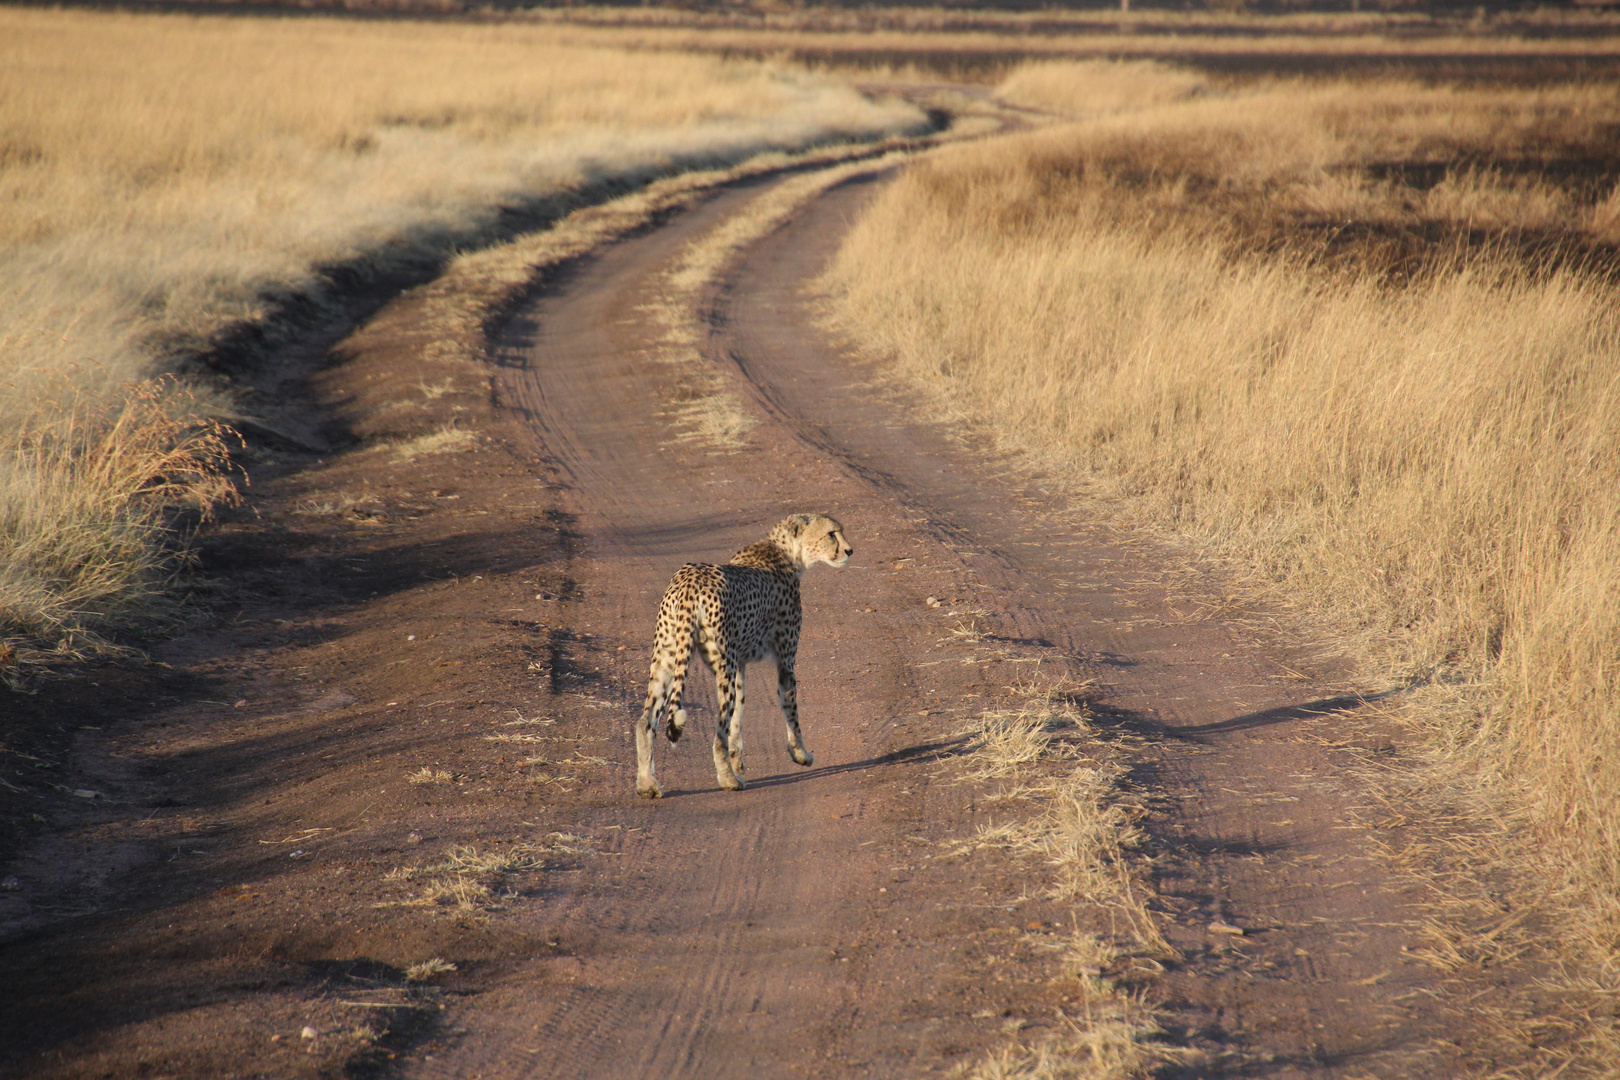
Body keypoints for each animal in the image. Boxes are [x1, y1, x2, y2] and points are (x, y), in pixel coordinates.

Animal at [635, 511, 855, 799]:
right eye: (831, 533)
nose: (849, 551)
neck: (786, 551)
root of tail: (690, 581)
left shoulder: (739, 664)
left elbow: (738, 712)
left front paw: (737, 756)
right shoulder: (785, 662)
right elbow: (791, 713)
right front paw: (801, 754)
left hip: (668, 657)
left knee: (645, 722)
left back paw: (647, 784)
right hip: (719, 665)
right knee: (717, 733)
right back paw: (728, 780)